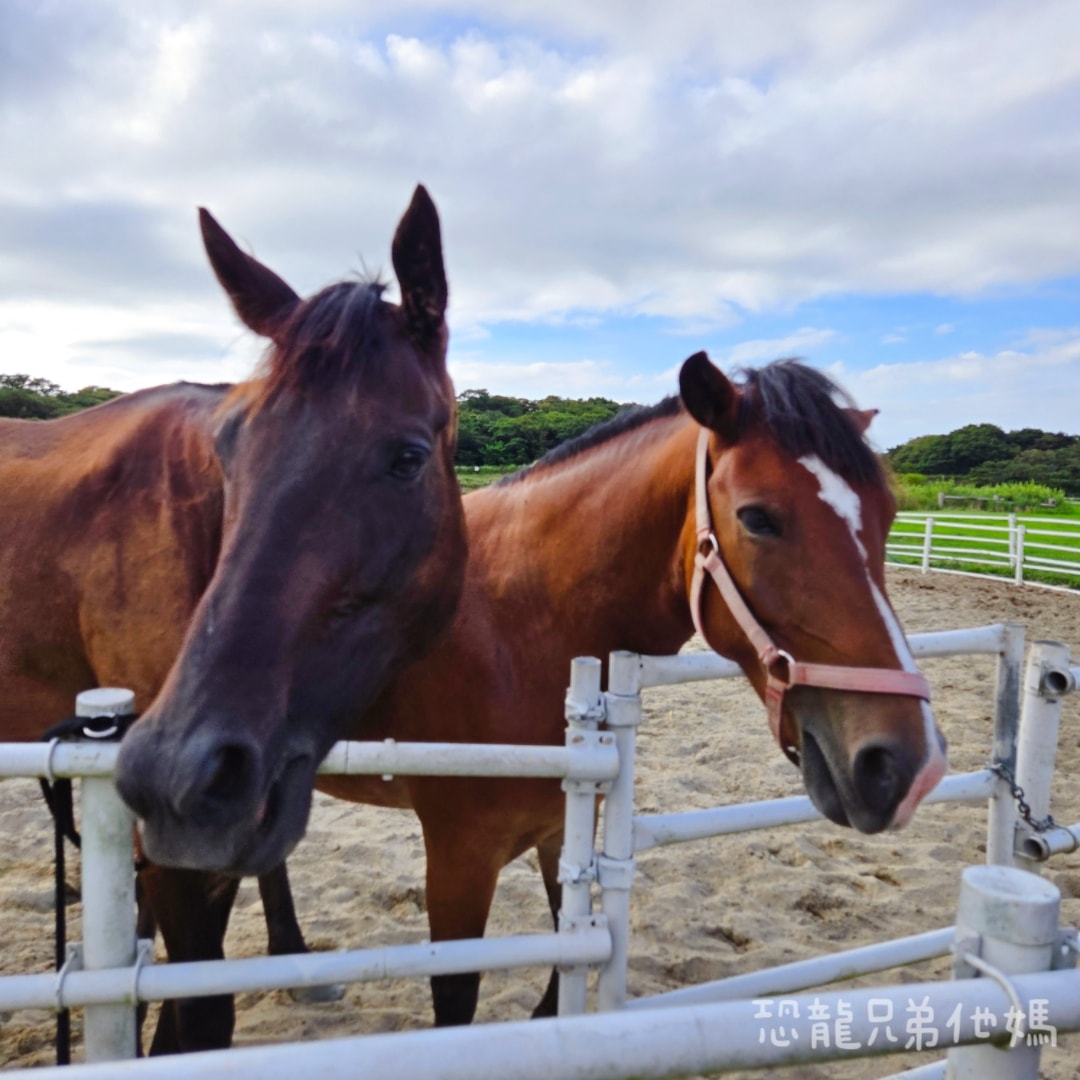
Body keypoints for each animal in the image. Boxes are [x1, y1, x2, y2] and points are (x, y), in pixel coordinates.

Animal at [254, 352, 946, 1028]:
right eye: (758, 518)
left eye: (887, 516)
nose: (907, 766)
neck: (515, 620)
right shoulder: (459, 860)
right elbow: (456, 1002)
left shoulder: (561, 829)